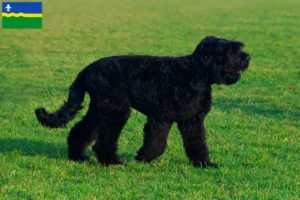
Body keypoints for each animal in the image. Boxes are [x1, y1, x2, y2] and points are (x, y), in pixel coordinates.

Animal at [35, 35, 251, 167]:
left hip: (99, 110)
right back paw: (112, 161)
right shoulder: (161, 117)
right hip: (116, 111)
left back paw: (78, 156)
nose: (247, 57)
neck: (196, 72)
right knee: (103, 140)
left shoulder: (192, 121)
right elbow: (156, 142)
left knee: (80, 131)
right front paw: (143, 157)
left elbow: (197, 143)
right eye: (231, 50)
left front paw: (204, 163)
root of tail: (86, 70)